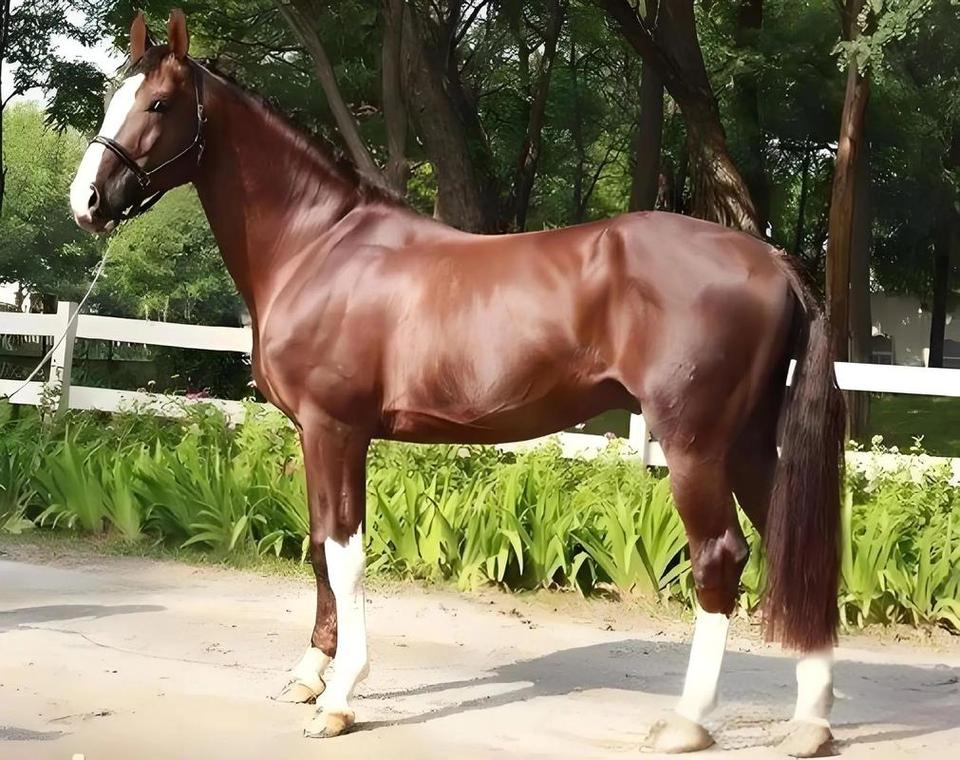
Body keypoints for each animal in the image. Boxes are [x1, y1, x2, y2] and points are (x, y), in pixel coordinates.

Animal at [69, 10, 845, 757]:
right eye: (112, 96)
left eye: (159, 102)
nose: (88, 201)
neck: (318, 247)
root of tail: (773, 259)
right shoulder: (322, 435)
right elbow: (319, 547)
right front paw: (308, 675)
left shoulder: (334, 429)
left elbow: (345, 554)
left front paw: (340, 698)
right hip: (747, 443)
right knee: (795, 555)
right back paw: (810, 724)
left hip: (695, 447)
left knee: (722, 558)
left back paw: (688, 721)